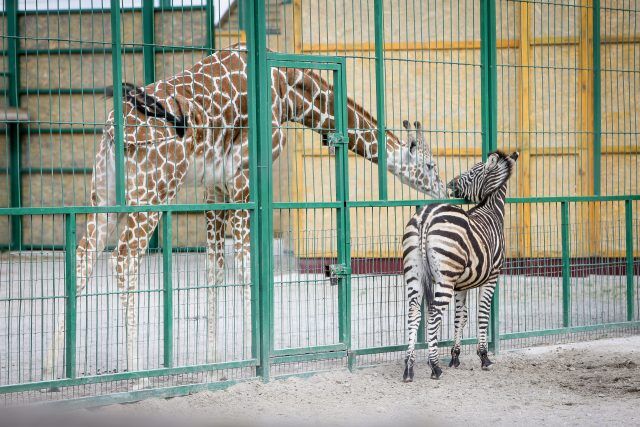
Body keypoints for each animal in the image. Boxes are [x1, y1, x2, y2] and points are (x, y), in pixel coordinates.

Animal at [43, 44, 444, 382]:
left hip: (105, 196)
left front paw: (212, 364)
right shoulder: (245, 181)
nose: (448, 190)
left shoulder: (215, 188)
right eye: (429, 165)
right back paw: (136, 374)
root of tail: (112, 129)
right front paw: (258, 361)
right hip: (151, 193)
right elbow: (247, 268)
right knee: (125, 259)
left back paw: (51, 372)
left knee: (83, 257)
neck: (289, 91)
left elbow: (215, 269)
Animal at [402, 149, 516, 382]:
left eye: (471, 172)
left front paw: (455, 356)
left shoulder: (460, 285)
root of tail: (426, 216)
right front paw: (484, 357)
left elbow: (460, 318)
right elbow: (482, 314)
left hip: (414, 274)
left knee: (414, 313)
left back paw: (409, 368)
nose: (450, 184)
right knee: (433, 315)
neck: (491, 210)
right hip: (444, 280)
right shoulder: (492, 276)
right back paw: (435, 367)